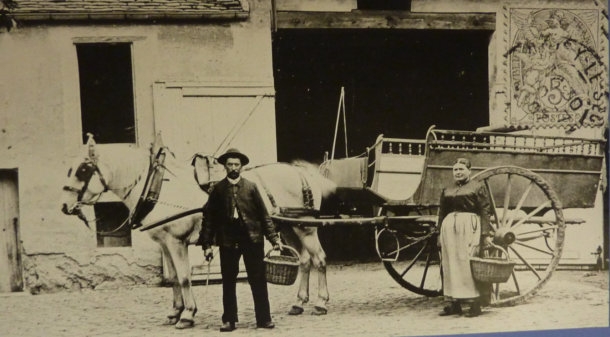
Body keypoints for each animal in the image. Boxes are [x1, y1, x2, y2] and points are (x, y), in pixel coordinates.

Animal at [60, 138, 334, 328]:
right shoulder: (165, 244)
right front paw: (175, 312)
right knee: (305, 260)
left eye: (83, 170)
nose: (65, 206)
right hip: (287, 227)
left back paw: (321, 303)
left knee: (319, 259)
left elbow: (183, 278)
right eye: (70, 169)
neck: (160, 188)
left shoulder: (177, 242)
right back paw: (299, 303)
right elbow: (173, 279)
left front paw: (188, 315)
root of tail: (302, 172)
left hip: (306, 227)